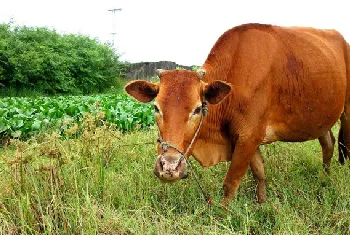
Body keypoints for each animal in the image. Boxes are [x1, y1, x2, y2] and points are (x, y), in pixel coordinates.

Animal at [125, 23, 350, 204]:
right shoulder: (244, 139)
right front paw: (262, 203)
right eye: (156, 108)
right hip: (320, 117)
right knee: (328, 144)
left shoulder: (248, 138)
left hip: (347, 112)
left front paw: (223, 215)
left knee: (343, 146)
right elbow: (259, 174)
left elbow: (230, 183)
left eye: (197, 108)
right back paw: (324, 178)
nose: (169, 167)